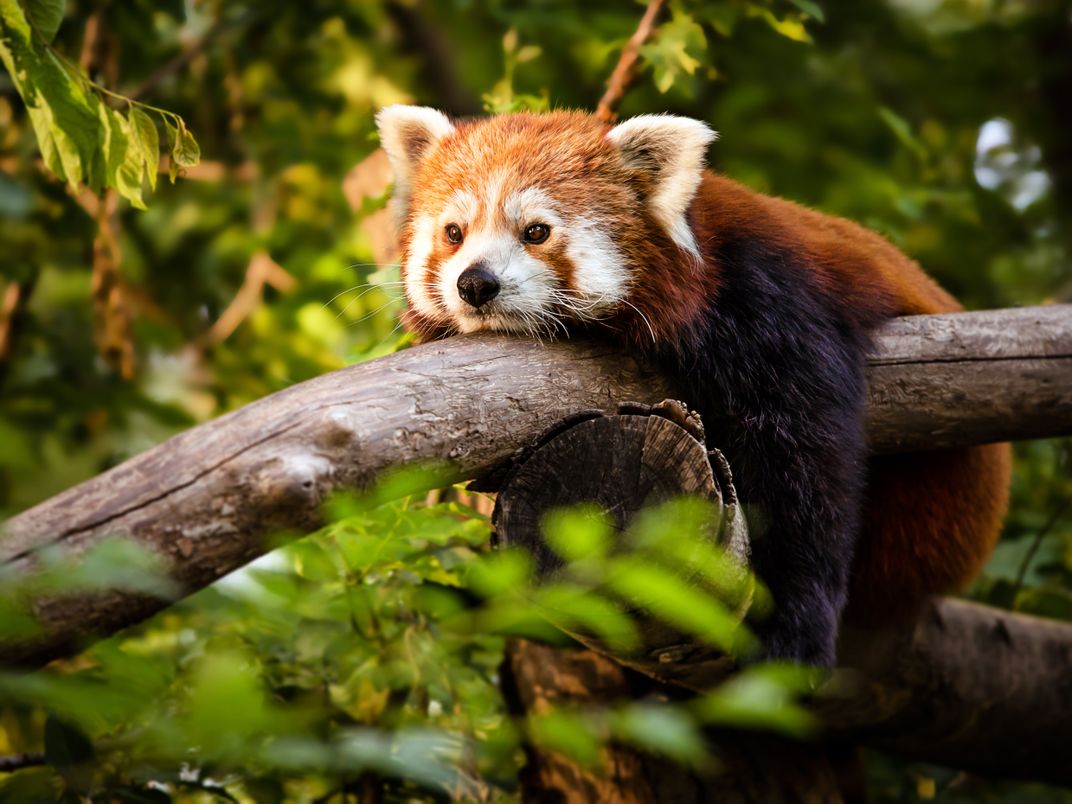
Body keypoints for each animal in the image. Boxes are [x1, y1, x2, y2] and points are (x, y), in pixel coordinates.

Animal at [375, 103, 1011, 664]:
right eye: (454, 233)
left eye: (536, 231)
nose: (474, 283)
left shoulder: (772, 302)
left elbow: (809, 468)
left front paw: (796, 628)